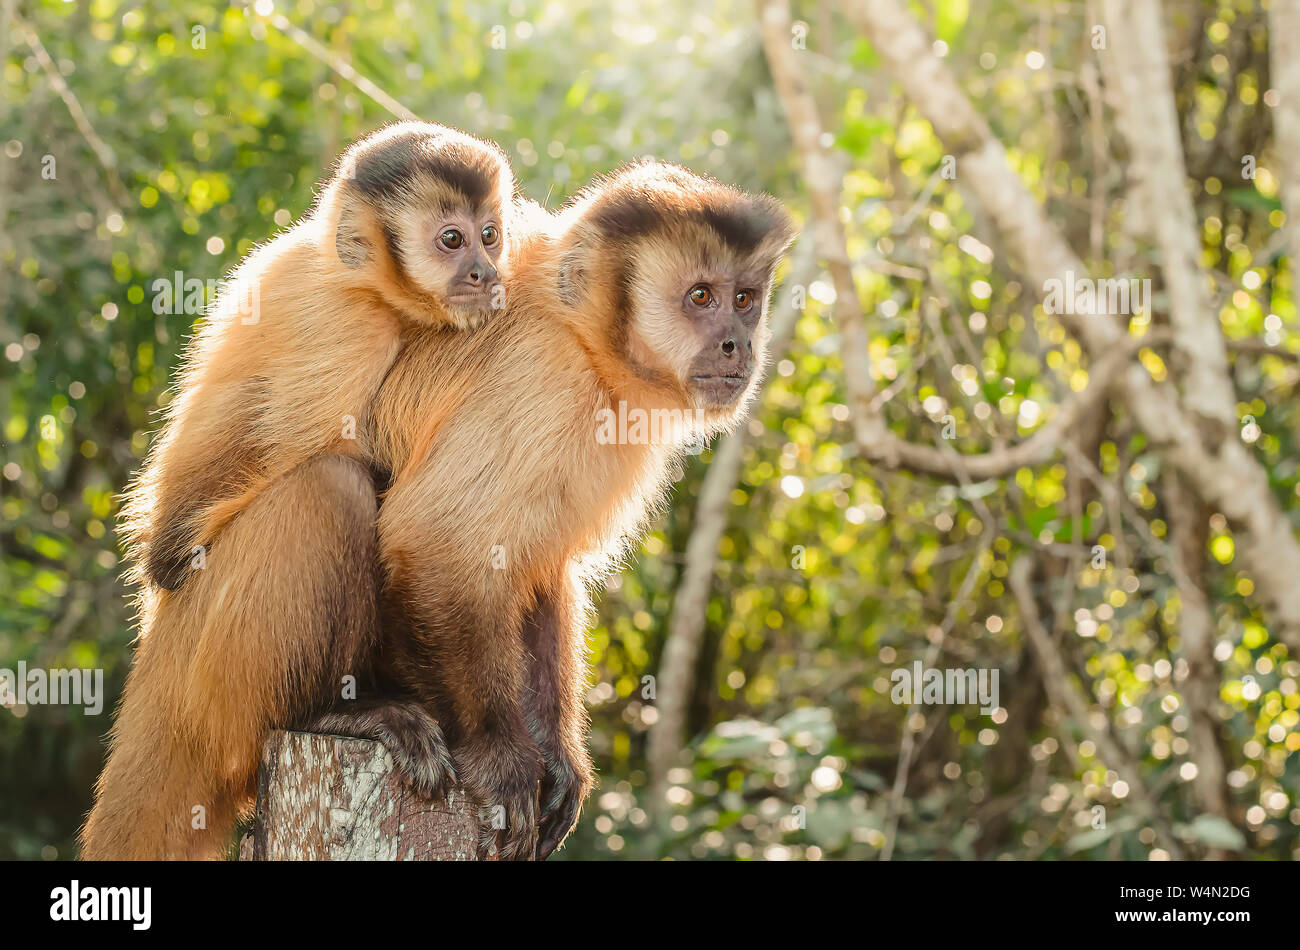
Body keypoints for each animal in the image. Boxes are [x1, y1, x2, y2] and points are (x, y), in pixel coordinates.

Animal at [79, 120, 522, 862]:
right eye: (451, 240)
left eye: (489, 235)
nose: (486, 273)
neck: (362, 282)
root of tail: (158, 645)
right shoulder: (342, 328)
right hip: (211, 660)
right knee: (326, 487)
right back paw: (328, 713)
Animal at [364, 159, 790, 857]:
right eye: (702, 297)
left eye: (746, 300)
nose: (737, 343)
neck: (582, 341)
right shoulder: (540, 379)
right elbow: (438, 545)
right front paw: (501, 752)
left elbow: (542, 563)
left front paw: (558, 758)